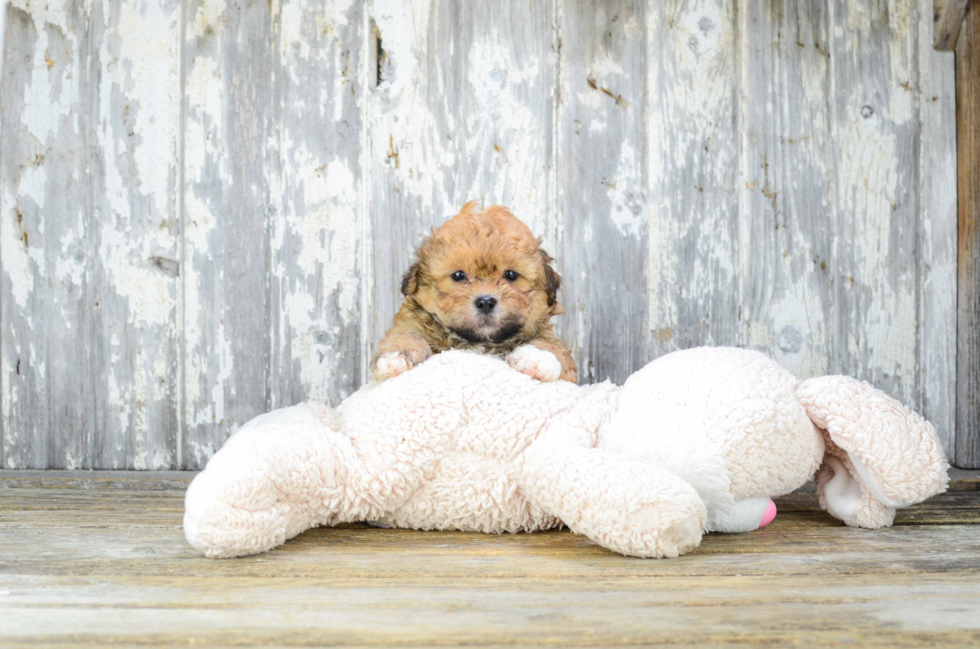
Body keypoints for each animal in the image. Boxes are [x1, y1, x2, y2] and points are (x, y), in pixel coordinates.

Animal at [374, 202, 576, 382]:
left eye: (511, 274)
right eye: (458, 275)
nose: (485, 302)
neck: (479, 342)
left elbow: (552, 345)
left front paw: (536, 357)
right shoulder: (412, 323)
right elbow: (407, 334)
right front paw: (397, 355)